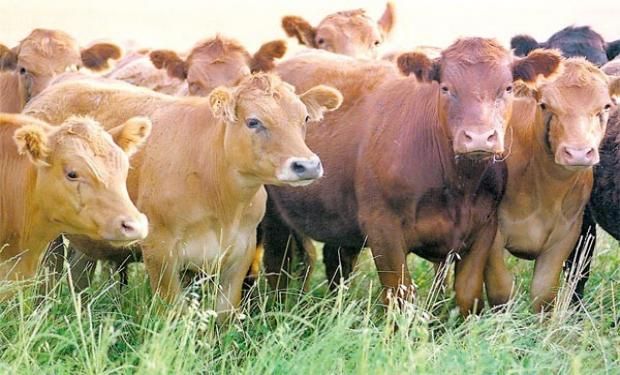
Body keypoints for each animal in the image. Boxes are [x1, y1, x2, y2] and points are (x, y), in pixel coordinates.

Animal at [24, 73, 342, 320]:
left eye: (304, 118)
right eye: (253, 121)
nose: (307, 165)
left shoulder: (239, 252)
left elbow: (221, 316)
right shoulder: (160, 251)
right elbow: (172, 311)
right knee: (47, 278)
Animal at [262, 38, 560, 316]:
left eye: (507, 88)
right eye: (446, 88)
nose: (478, 137)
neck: (458, 186)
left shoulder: (483, 229)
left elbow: (467, 294)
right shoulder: (383, 228)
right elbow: (400, 296)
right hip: (273, 216)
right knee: (277, 265)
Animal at [484, 58, 620, 312]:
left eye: (606, 106)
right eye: (545, 105)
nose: (578, 152)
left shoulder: (565, 236)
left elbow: (544, 293)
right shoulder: (493, 236)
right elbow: (501, 290)